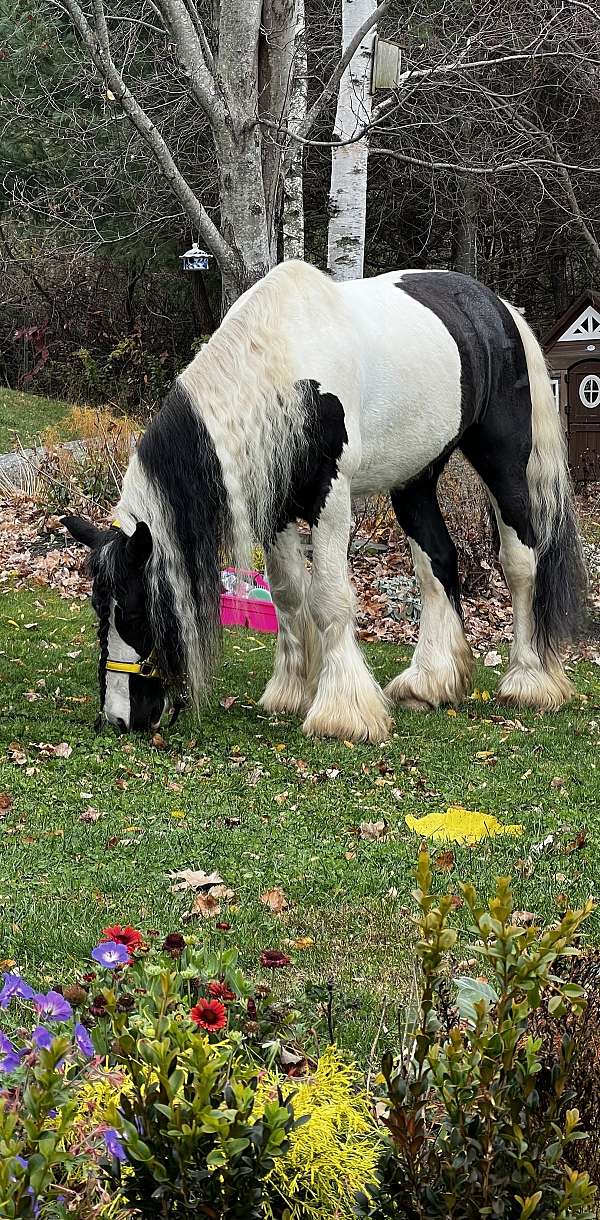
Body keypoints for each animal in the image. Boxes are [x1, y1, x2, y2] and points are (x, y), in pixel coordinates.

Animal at [65, 261, 585, 736]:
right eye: (97, 608)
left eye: (135, 611)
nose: (120, 718)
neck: (286, 372)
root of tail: (499, 309)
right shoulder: (276, 513)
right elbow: (289, 595)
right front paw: (291, 692)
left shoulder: (331, 501)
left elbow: (330, 598)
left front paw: (342, 713)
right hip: (415, 478)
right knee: (436, 561)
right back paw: (429, 682)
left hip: (503, 464)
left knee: (520, 562)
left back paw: (529, 681)